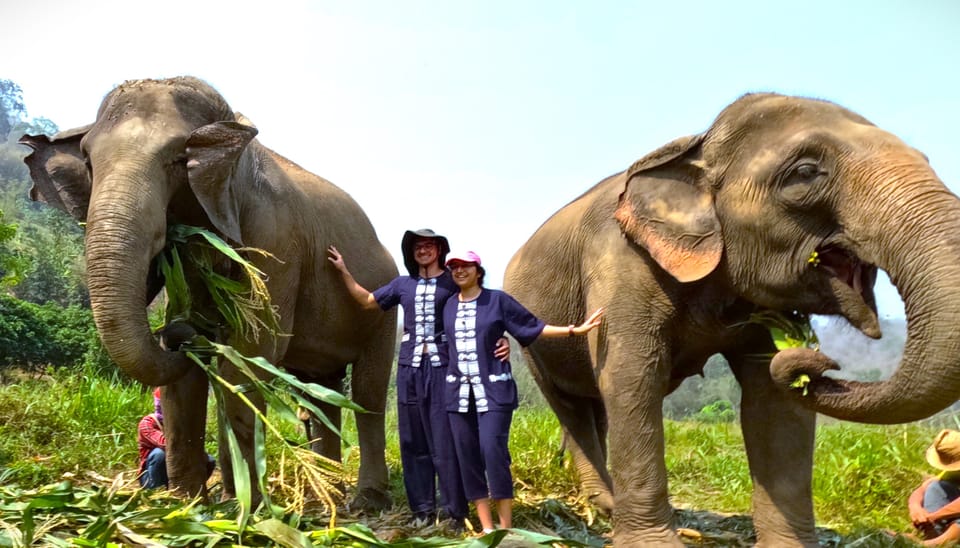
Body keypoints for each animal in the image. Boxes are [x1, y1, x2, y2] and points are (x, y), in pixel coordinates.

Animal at [20, 77, 400, 510]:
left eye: (177, 159)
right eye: (87, 161)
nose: (175, 334)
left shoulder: (277, 238)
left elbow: (251, 355)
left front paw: (249, 507)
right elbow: (189, 378)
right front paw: (186, 504)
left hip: (383, 310)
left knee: (368, 393)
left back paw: (366, 501)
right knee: (321, 394)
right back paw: (326, 496)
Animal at [502, 92, 960, 544]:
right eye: (805, 172)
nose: (819, 357)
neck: (696, 146)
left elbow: (771, 398)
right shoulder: (619, 262)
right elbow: (632, 377)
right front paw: (654, 542)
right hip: (531, 345)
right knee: (572, 406)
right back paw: (603, 505)